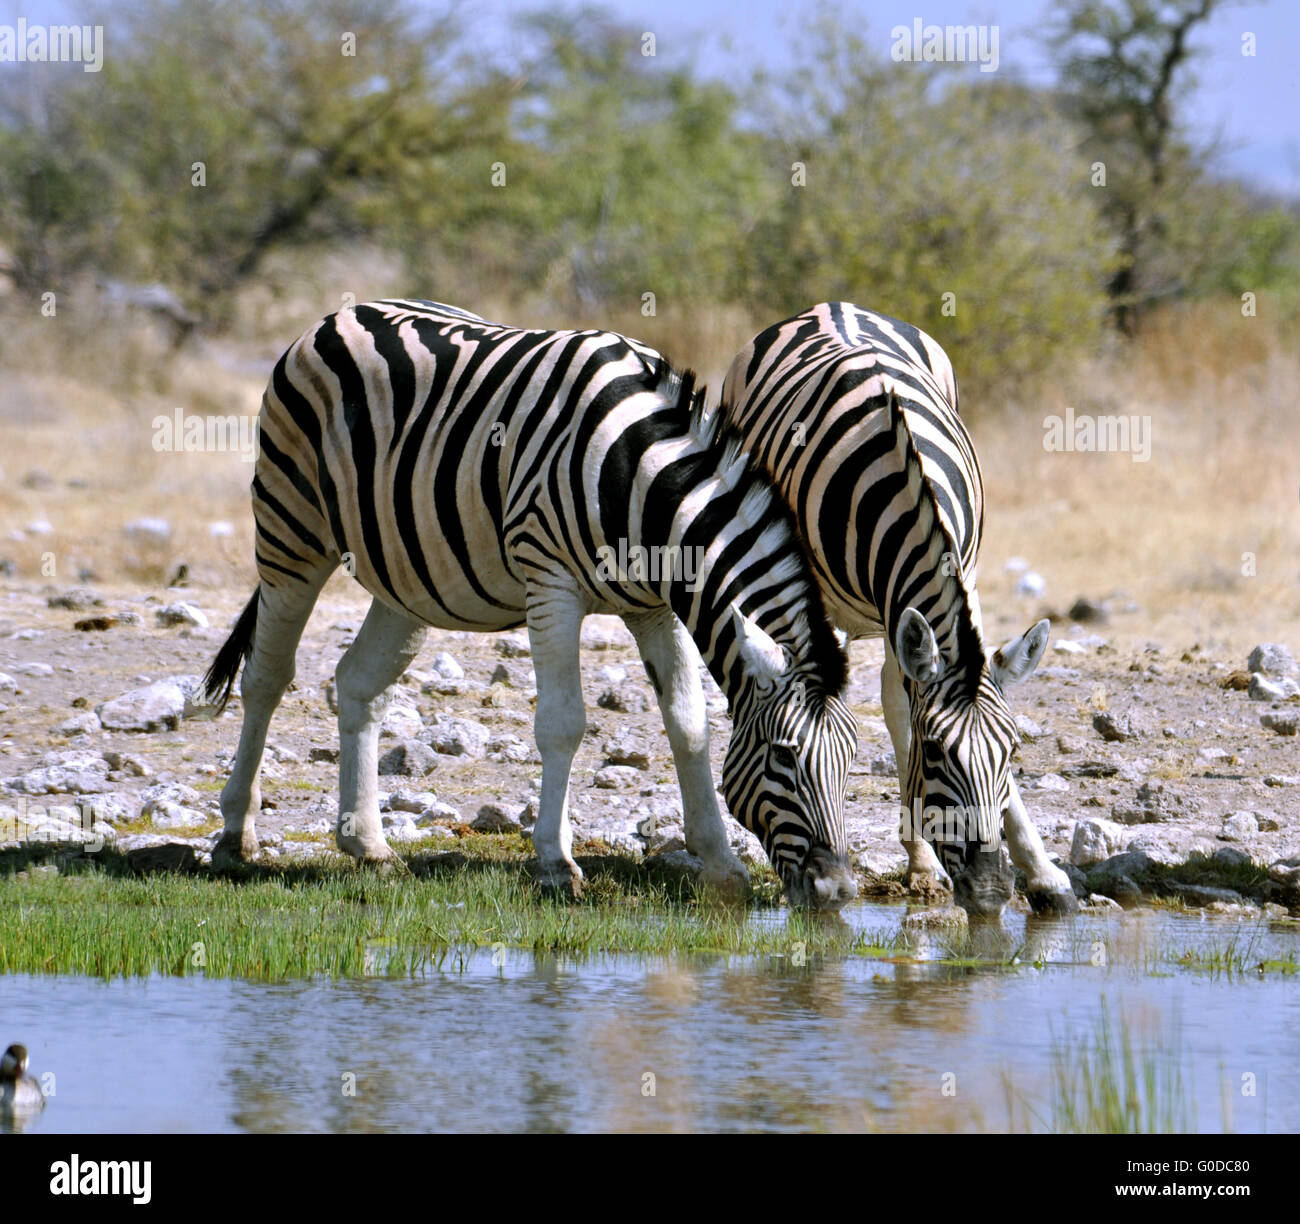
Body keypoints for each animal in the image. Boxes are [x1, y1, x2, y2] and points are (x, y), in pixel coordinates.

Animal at [200, 297, 863, 909]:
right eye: (783, 757)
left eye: (851, 760)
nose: (835, 890)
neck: (644, 483)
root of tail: (339, 313)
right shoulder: (551, 583)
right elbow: (564, 723)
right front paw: (556, 864)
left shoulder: (654, 606)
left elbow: (689, 724)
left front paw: (722, 864)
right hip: (291, 527)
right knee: (266, 676)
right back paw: (236, 836)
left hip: (407, 574)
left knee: (358, 683)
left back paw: (368, 845)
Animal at [722, 304, 1076, 919]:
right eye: (936, 755)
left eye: (1012, 752)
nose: (989, 891)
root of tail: (829, 306)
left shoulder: (965, 578)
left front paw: (1043, 872)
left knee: (895, 697)